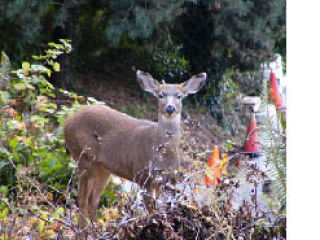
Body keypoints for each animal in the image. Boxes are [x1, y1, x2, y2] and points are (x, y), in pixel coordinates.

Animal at [63, 70, 208, 227]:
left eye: (179, 96)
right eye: (160, 95)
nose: (170, 108)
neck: (163, 152)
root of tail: (66, 123)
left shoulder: (162, 181)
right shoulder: (142, 175)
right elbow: (152, 211)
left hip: (103, 168)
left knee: (93, 200)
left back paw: (98, 228)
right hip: (84, 156)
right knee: (82, 198)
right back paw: (85, 229)